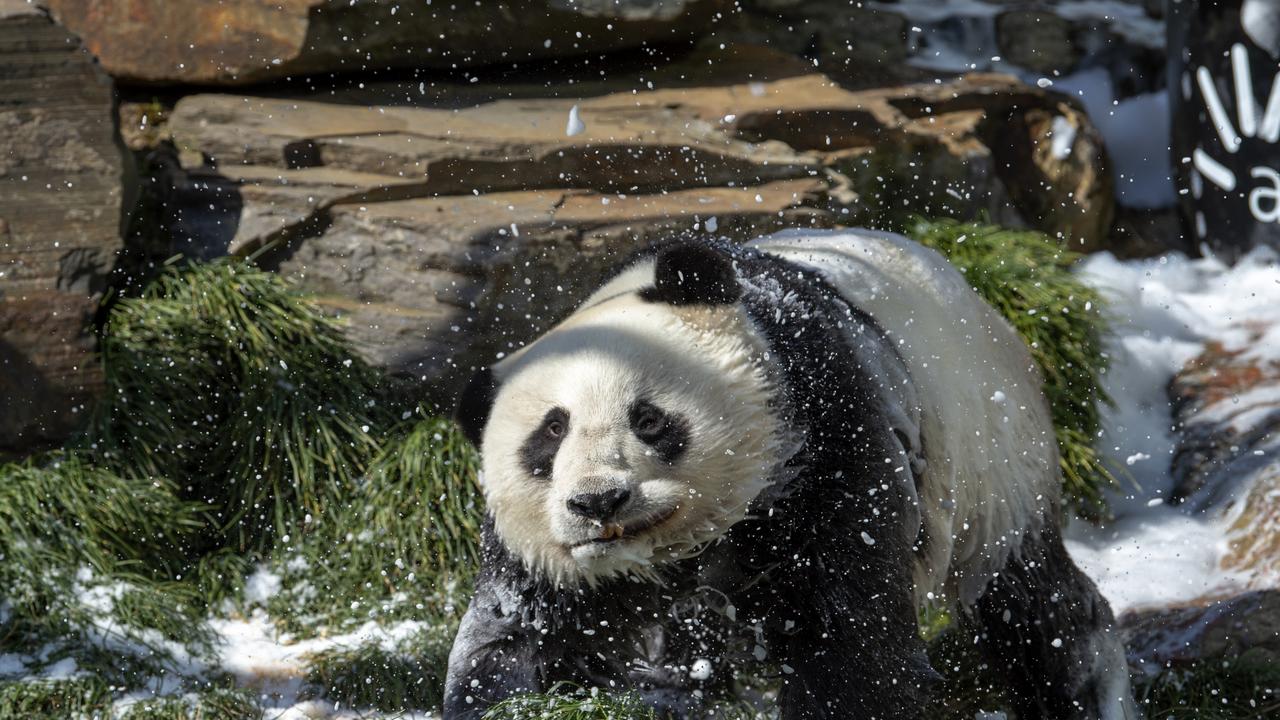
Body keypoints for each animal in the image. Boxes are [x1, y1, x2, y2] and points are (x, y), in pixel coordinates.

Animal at [445, 229, 1136, 717]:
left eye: (648, 420)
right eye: (549, 436)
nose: (598, 502)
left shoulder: (827, 429)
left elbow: (853, 638)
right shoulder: (540, 559)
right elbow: (511, 638)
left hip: (991, 447)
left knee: (1030, 602)